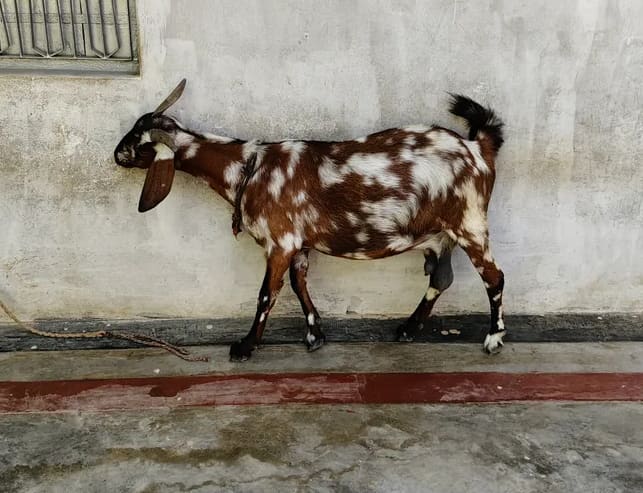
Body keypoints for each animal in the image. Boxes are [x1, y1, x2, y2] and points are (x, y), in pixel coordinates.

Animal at [114, 79, 506, 361]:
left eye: (139, 142)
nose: (117, 154)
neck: (247, 168)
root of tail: (478, 148)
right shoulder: (298, 244)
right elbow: (299, 283)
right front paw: (315, 335)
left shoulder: (280, 242)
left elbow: (267, 294)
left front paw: (245, 347)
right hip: (441, 235)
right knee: (442, 278)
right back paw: (408, 330)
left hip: (470, 224)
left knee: (494, 278)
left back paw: (493, 338)